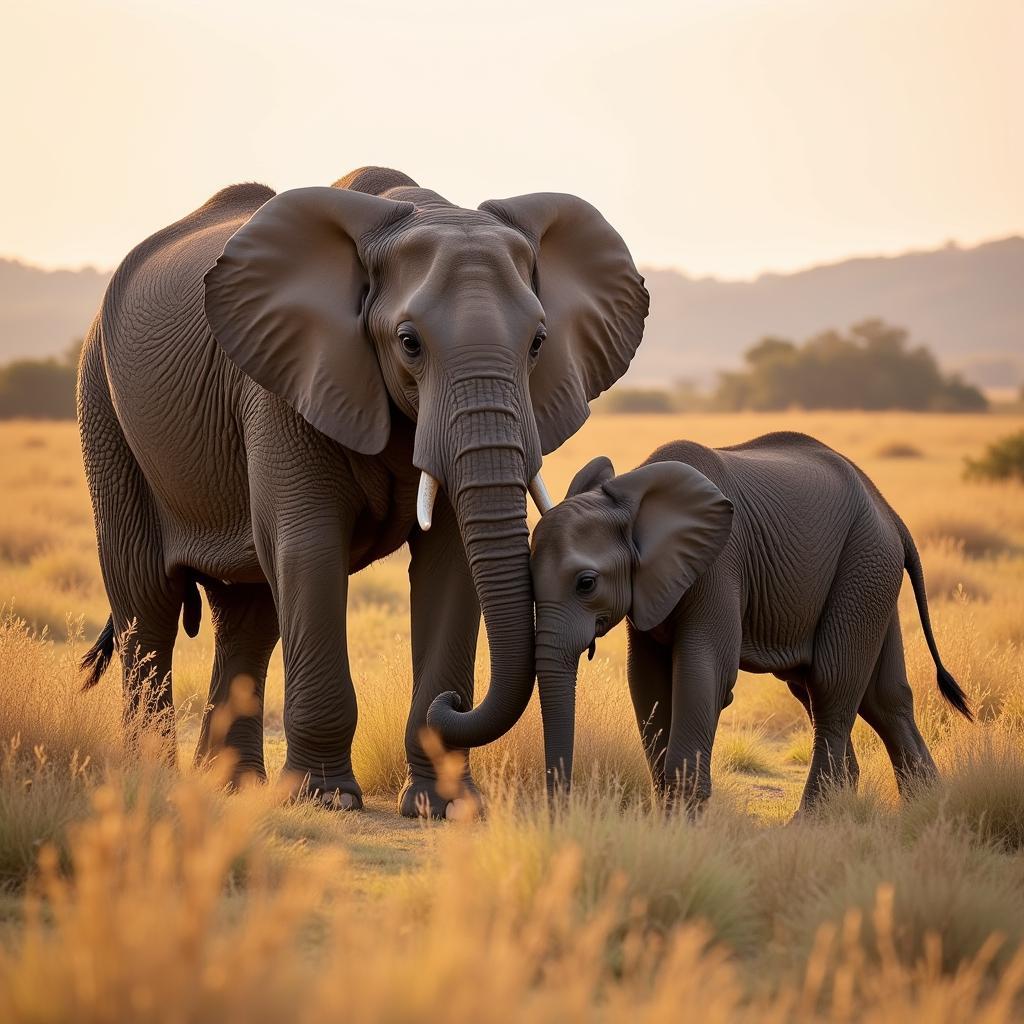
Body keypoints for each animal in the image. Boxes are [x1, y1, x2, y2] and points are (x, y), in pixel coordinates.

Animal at [77, 165, 647, 815]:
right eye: (409, 342)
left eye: (538, 342)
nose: (454, 704)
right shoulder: (285, 384)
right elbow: (309, 550)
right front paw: (327, 800)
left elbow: (452, 562)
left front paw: (444, 808)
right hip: (104, 407)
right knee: (147, 603)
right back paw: (155, 784)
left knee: (247, 614)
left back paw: (232, 787)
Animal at [532, 430, 970, 806]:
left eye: (586, 584)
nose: (562, 808)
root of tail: (890, 512)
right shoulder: (651, 586)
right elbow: (646, 678)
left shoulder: (719, 564)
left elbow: (705, 671)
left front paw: (683, 821)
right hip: (872, 574)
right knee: (879, 697)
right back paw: (919, 807)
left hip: (864, 563)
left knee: (832, 686)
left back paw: (807, 823)